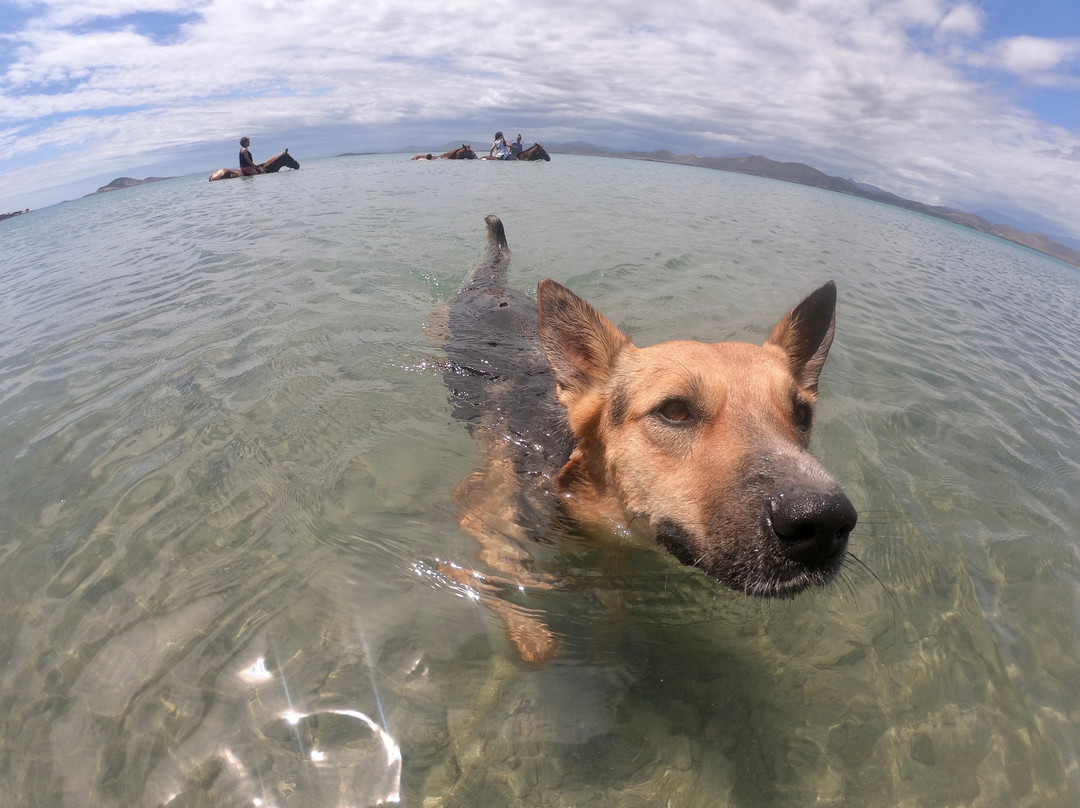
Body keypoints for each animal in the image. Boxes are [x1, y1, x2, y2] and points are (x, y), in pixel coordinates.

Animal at [440, 214, 859, 661]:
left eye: (802, 414)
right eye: (674, 411)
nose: (824, 519)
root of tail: (493, 289)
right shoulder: (478, 510)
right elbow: (510, 589)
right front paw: (535, 635)